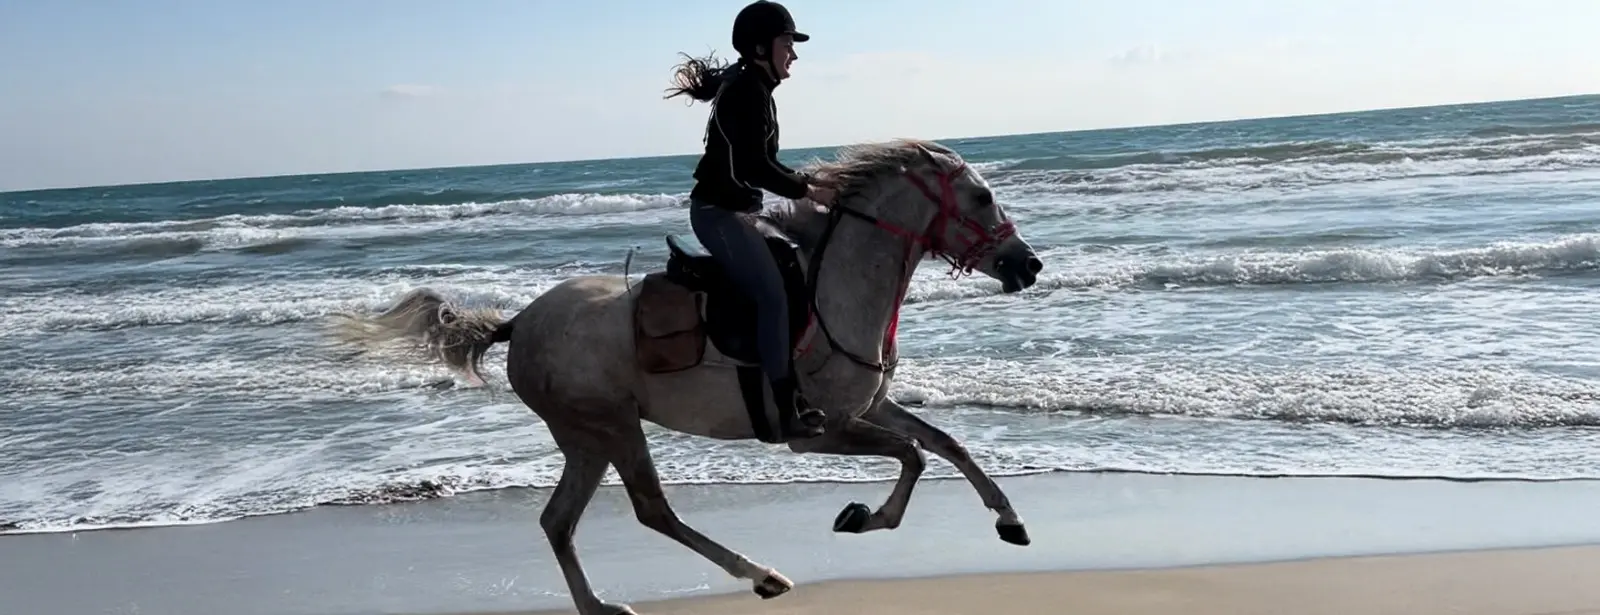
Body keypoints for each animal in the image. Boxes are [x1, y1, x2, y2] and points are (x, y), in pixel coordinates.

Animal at [331, 138, 1044, 615]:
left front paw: (1010, 520)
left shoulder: (869, 407)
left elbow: (946, 443)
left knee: (558, 521)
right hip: (613, 427)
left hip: (586, 439)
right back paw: (761, 575)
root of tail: (520, 323)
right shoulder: (817, 432)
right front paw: (861, 517)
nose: (1028, 264)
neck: (837, 291)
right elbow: (913, 457)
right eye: (982, 196)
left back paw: (600, 606)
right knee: (652, 510)